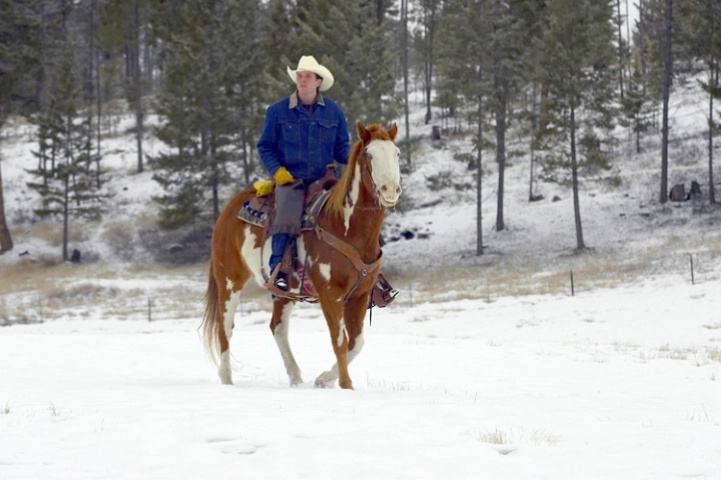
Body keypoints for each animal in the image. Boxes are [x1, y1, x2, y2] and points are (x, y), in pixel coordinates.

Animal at [201, 123, 400, 390]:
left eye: (396, 153)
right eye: (369, 154)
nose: (391, 190)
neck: (346, 227)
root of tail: (229, 208)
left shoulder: (359, 295)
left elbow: (355, 343)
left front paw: (324, 379)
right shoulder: (330, 293)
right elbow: (339, 340)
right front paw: (346, 385)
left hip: (284, 292)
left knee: (278, 328)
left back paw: (295, 377)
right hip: (229, 280)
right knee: (225, 326)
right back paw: (226, 378)